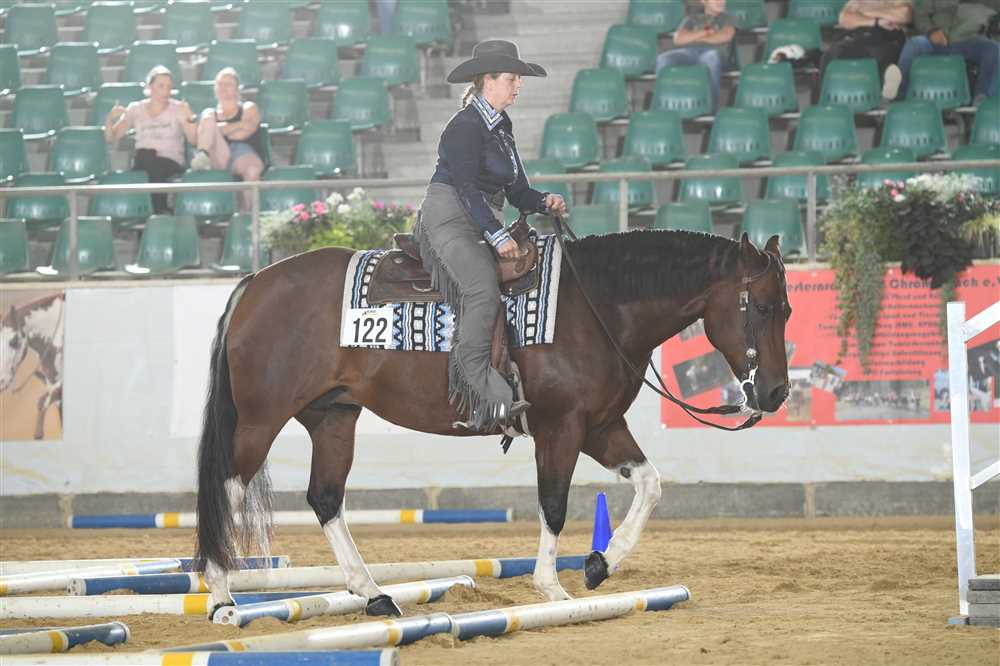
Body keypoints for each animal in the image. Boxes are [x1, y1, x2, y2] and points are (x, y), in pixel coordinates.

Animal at [194, 229, 792, 617]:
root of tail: (254, 283)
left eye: (786, 310)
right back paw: (222, 596)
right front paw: (552, 588)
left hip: (333, 417)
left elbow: (650, 483)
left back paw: (374, 594)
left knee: (325, 498)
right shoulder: (560, 428)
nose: (776, 392)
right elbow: (554, 504)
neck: (596, 307)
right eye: (762, 308)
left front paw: (601, 563)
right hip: (260, 421)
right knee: (226, 487)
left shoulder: (601, 427)